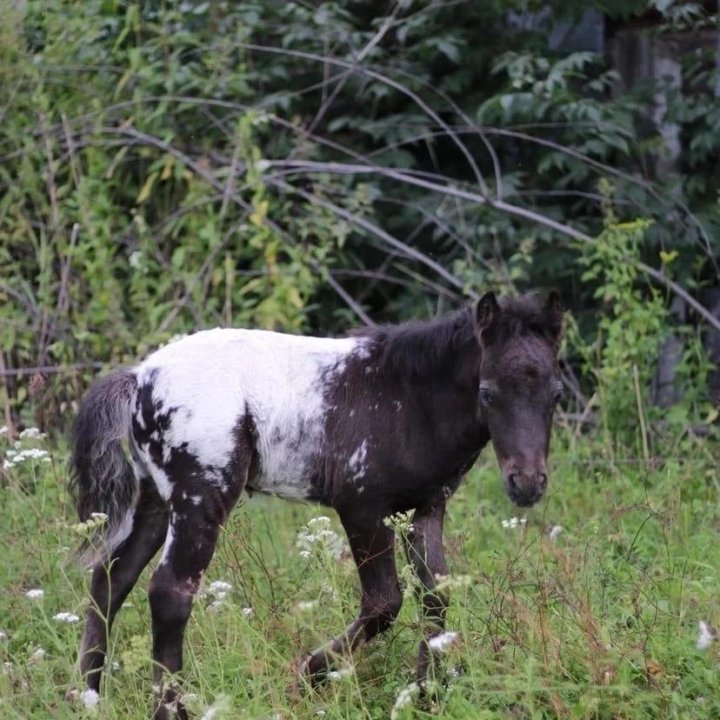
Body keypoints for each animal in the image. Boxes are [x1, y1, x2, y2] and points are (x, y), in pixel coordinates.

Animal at [69, 290, 564, 716]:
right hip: (201, 496)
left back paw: (87, 696)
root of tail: (140, 377)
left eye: (556, 394)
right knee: (169, 591)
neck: (408, 398)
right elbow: (385, 601)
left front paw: (423, 695)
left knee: (111, 578)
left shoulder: (423, 510)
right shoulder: (362, 507)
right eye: (487, 392)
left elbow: (435, 597)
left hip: (156, 499)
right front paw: (305, 676)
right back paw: (170, 709)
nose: (527, 484)